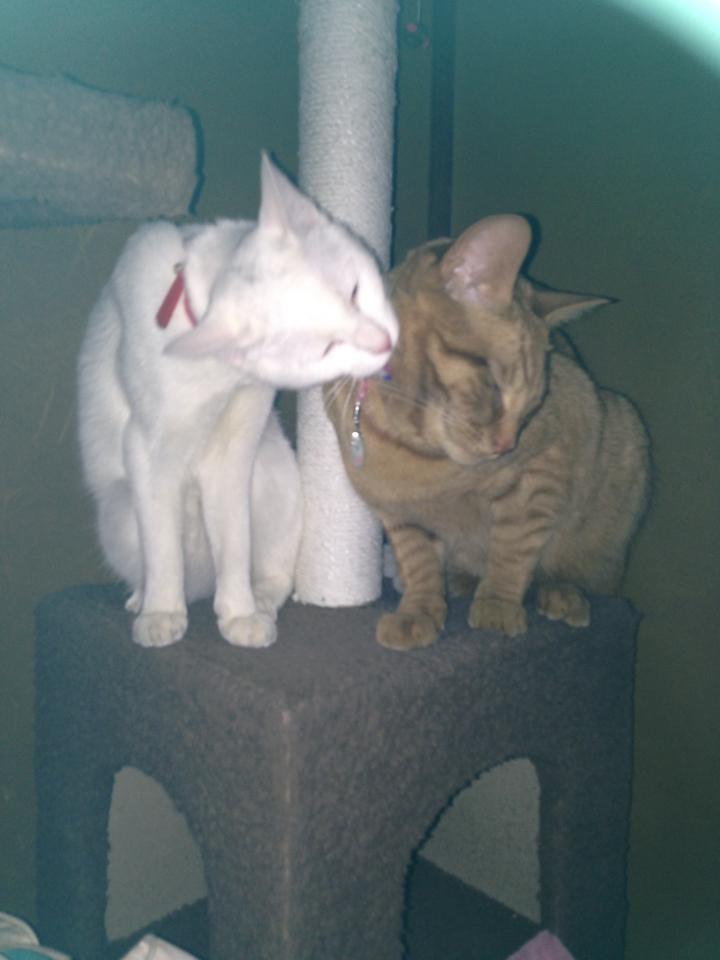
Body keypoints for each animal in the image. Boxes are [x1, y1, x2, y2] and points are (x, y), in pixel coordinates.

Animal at [77, 153, 398, 649]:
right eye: (326, 347)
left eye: (355, 292)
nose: (384, 342)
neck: (221, 375)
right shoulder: (149, 450)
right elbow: (162, 548)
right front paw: (161, 614)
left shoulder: (234, 449)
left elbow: (234, 544)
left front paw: (239, 614)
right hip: (119, 511)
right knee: (157, 561)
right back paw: (144, 599)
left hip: (273, 475)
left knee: (272, 570)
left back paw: (259, 603)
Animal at [324, 214, 649, 650]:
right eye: (493, 388)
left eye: (533, 407)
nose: (506, 446)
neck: (412, 452)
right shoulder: (398, 514)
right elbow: (419, 564)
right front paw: (419, 610)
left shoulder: (538, 479)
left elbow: (512, 551)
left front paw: (497, 606)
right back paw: (460, 580)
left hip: (622, 437)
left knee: (578, 574)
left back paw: (561, 594)